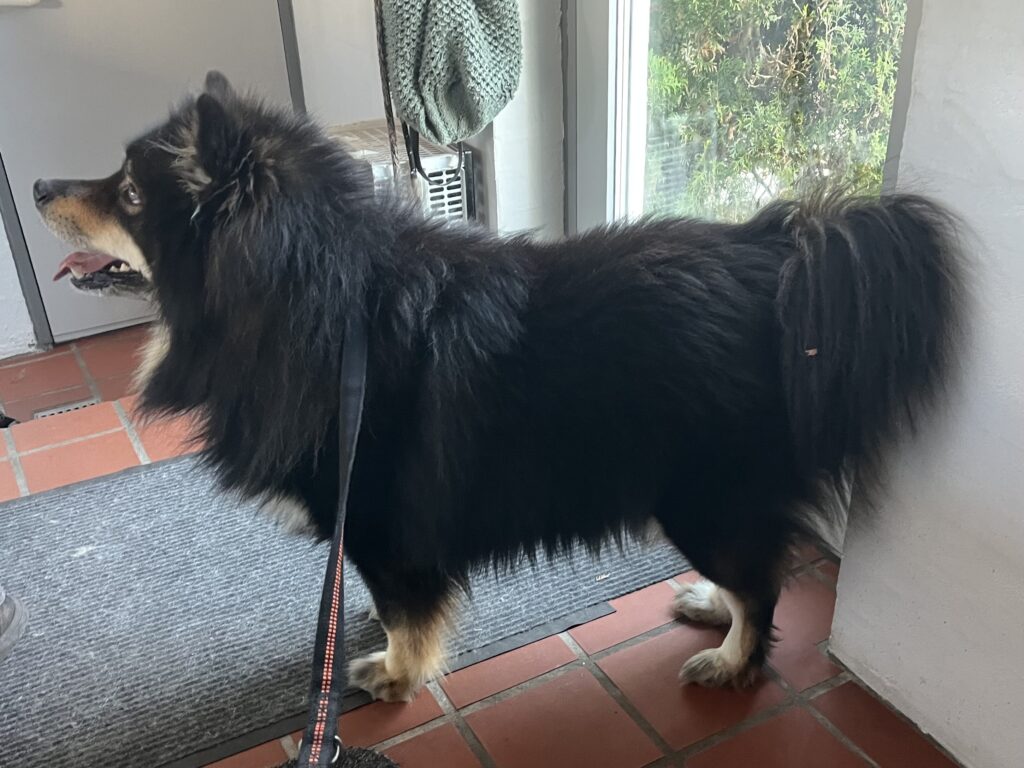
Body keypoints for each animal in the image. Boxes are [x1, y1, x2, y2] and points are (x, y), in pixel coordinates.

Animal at [34, 72, 966, 701]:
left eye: (126, 191)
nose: (39, 183)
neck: (318, 309)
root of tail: (778, 254)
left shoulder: (380, 516)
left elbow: (406, 610)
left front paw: (395, 672)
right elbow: (388, 598)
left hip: (702, 498)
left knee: (763, 583)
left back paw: (733, 660)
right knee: (751, 574)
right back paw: (712, 608)